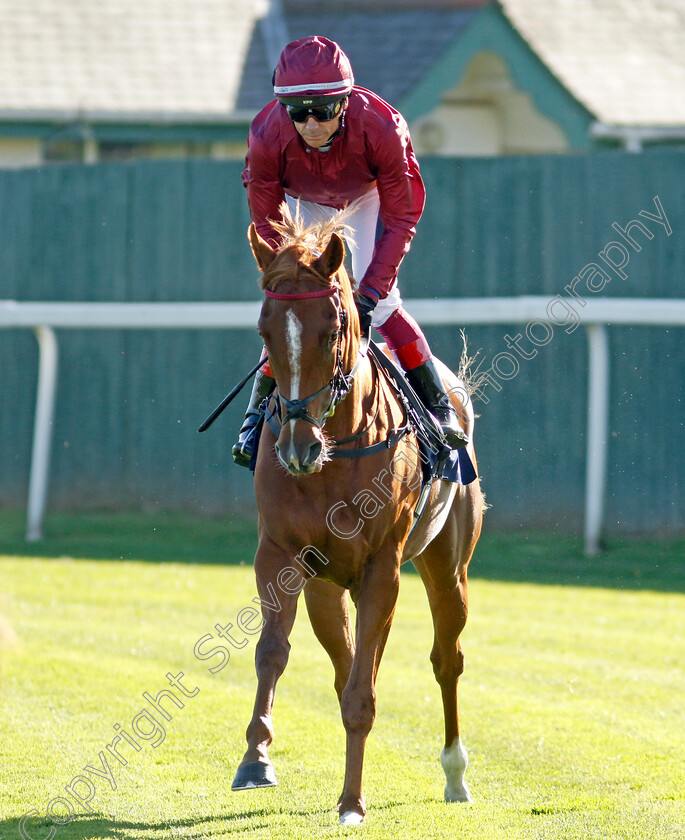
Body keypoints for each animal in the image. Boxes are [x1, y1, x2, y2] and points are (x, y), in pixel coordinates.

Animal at [232, 207, 484, 824]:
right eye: (264, 334)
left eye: (333, 329)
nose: (296, 447)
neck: (335, 447)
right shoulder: (279, 553)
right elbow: (273, 653)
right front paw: (256, 758)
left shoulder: (381, 568)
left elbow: (363, 689)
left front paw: (352, 801)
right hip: (326, 587)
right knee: (346, 659)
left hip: (448, 567)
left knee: (447, 658)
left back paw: (455, 773)